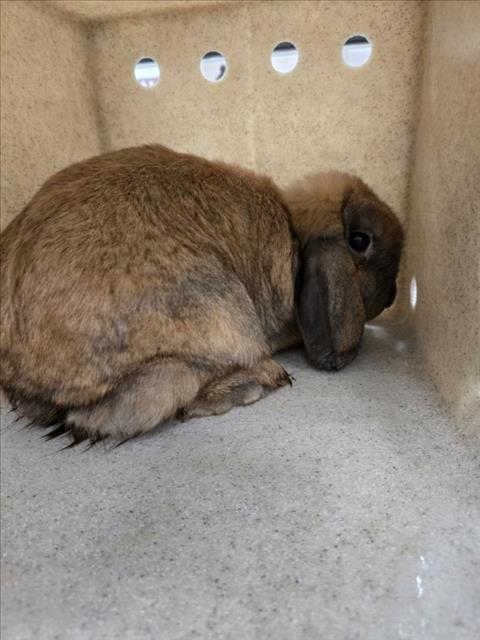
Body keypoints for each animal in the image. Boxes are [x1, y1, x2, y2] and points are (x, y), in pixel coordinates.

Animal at [0, 144, 403, 443]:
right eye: (360, 241)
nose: (395, 295)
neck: (294, 232)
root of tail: (29, 382)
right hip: (218, 313)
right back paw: (262, 379)